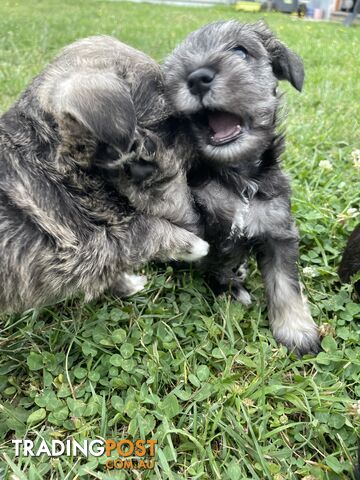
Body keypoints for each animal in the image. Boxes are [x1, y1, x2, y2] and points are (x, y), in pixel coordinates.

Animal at [164, 20, 320, 354]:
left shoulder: (278, 231)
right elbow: (219, 267)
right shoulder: (209, 231)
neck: (239, 180)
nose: (196, 78)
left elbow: (285, 284)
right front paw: (233, 292)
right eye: (173, 67)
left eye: (240, 51)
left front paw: (297, 331)